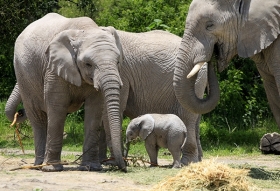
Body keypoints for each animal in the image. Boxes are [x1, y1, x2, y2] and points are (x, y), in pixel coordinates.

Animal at [4, 13, 126, 172]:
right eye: (88, 64)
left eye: (118, 62)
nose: (124, 168)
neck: (86, 29)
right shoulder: (53, 69)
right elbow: (57, 107)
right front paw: (51, 169)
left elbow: (94, 110)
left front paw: (91, 167)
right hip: (23, 75)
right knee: (38, 117)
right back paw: (39, 165)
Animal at [100, 29, 208, 165]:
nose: (126, 160)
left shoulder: (121, 71)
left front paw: (111, 163)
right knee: (195, 118)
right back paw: (198, 161)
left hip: (193, 78)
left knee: (187, 116)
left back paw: (187, 163)